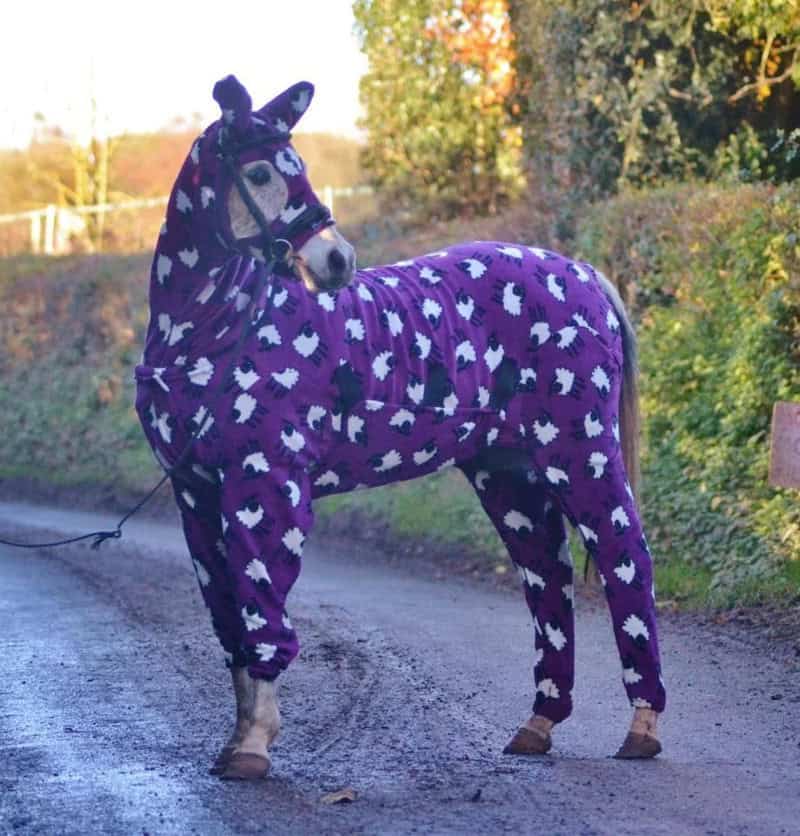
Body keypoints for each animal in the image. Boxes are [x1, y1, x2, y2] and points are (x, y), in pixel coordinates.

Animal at [134, 75, 666, 779]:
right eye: (259, 172)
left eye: (298, 167)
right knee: (546, 578)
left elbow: (262, 610)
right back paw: (538, 725)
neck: (217, 331)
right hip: (510, 478)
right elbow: (232, 624)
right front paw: (238, 738)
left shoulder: (265, 485)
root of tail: (582, 275)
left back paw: (642, 726)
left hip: (581, 456)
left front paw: (254, 745)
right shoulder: (196, 494)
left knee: (625, 561)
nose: (337, 259)